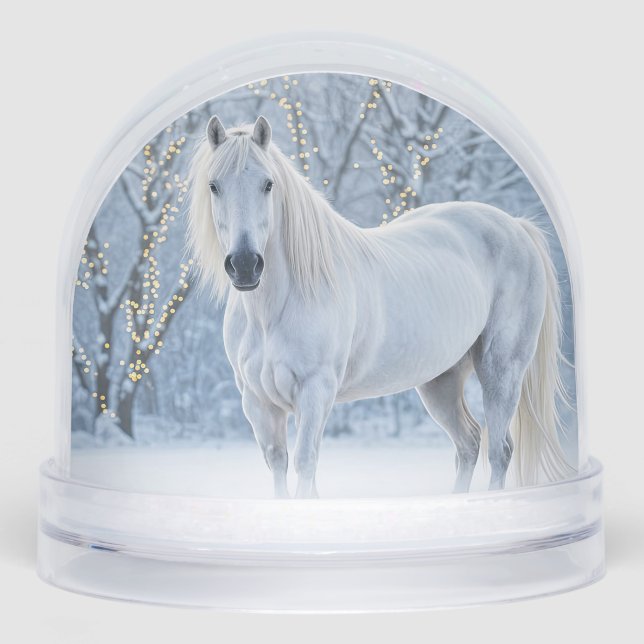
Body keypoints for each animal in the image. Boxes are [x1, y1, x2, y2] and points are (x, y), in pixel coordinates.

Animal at [187, 115, 574, 499]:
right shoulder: (258, 402)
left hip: (501, 370)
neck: (273, 311)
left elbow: (305, 463)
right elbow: (280, 466)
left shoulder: (315, 392)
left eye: (268, 185)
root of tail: (517, 227)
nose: (245, 265)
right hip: (441, 381)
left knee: (499, 451)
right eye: (214, 186)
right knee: (469, 443)